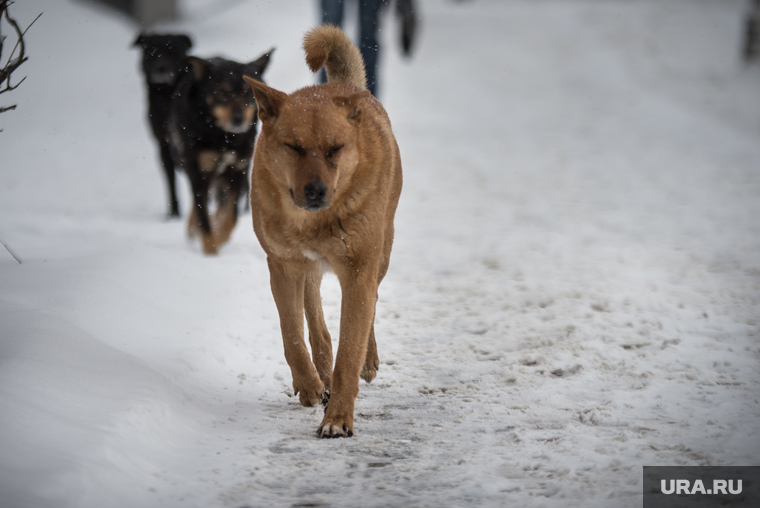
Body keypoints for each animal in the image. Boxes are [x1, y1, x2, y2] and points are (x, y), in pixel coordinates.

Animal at [134, 33, 193, 216]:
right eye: (150, 51)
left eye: (173, 51)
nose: (161, 68)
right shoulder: (163, 143)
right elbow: (171, 180)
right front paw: (174, 213)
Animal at [169, 51, 274, 254]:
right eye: (222, 93)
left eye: (248, 93)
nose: (238, 119)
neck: (225, 138)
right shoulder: (200, 172)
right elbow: (204, 219)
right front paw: (211, 252)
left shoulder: (238, 169)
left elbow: (231, 217)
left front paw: (220, 237)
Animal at [245, 24, 404, 436]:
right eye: (294, 147)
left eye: (335, 149)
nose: (316, 190)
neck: (313, 221)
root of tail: (343, 87)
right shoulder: (282, 264)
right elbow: (292, 335)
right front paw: (311, 386)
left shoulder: (359, 268)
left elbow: (351, 346)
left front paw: (337, 420)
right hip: (309, 267)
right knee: (315, 319)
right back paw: (319, 378)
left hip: (381, 252)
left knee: (370, 305)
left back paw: (365, 362)